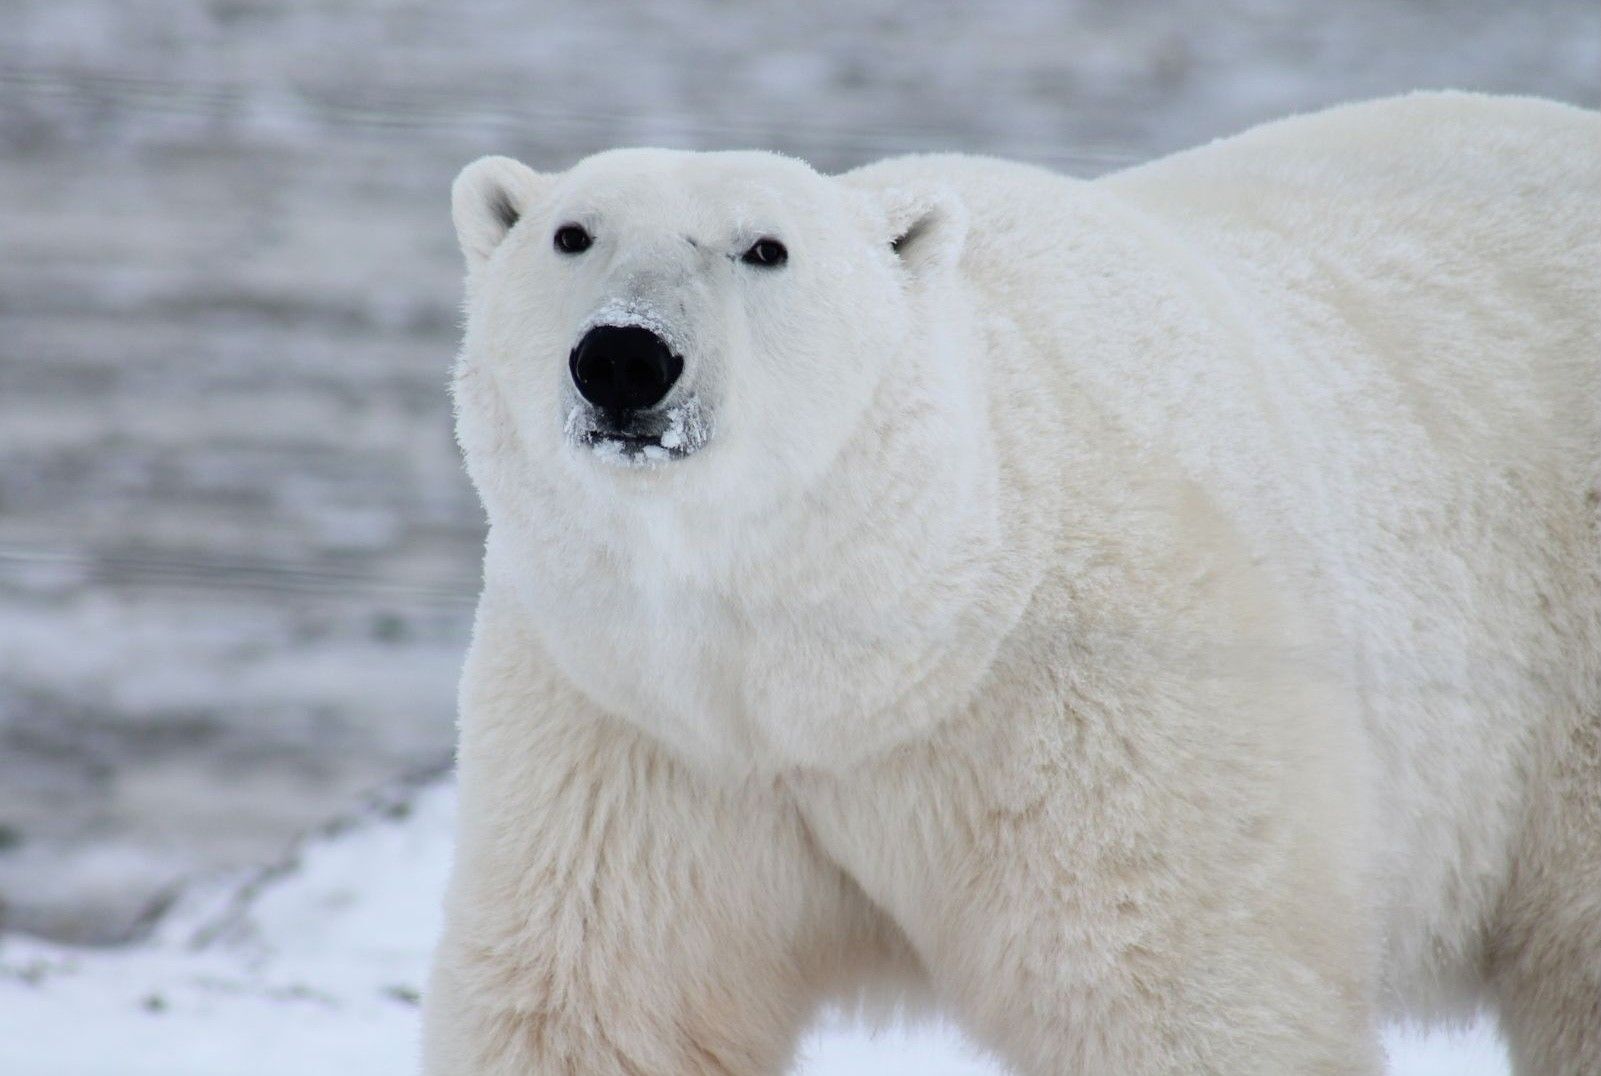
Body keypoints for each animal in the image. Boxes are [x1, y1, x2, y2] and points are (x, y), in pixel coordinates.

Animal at [422, 92, 1600, 1075]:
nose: (624, 357)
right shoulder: (636, 730)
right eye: (571, 234)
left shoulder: (1103, 702)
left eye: (765, 248)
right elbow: (601, 1004)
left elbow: (1175, 995)